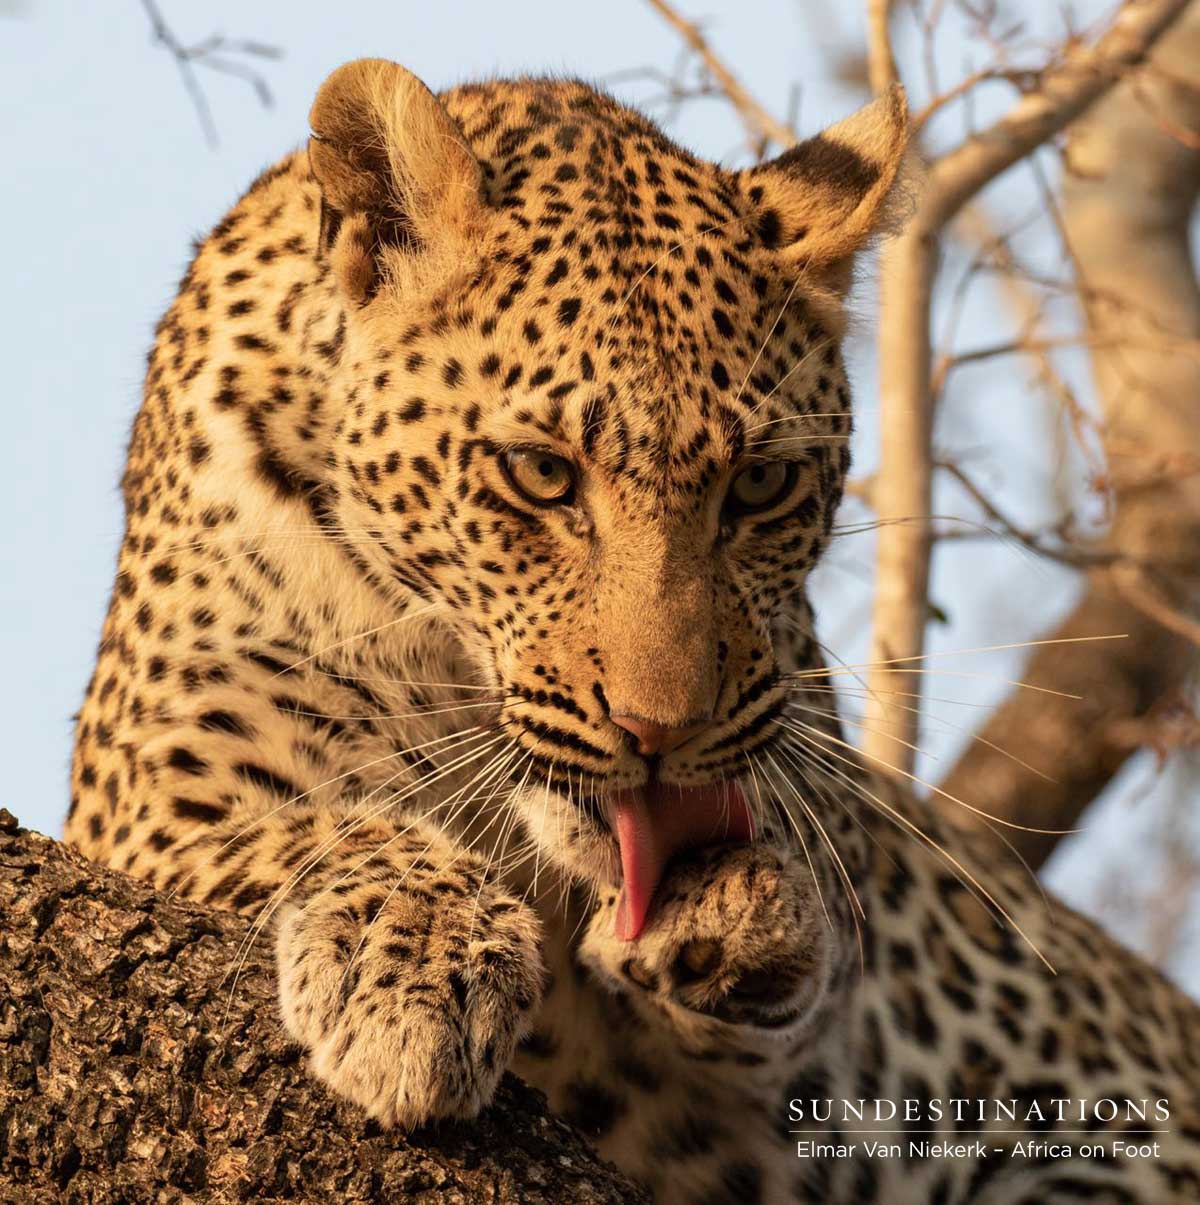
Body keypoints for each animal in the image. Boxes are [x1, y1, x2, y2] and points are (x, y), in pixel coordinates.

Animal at [65, 58, 1200, 1203]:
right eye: (541, 472)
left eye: (761, 485)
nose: (662, 734)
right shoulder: (151, 796)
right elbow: (328, 826)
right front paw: (417, 966)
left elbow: (829, 930)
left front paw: (736, 914)